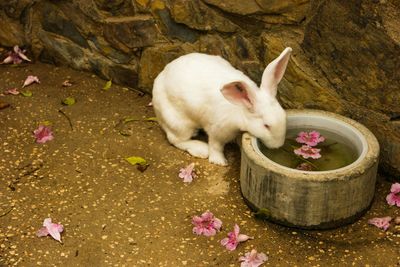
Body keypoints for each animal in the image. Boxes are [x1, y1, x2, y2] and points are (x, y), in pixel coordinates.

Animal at [152, 47, 292, 166]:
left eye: (284, 117)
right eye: (266, 126)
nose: (278, 145)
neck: (240, 110)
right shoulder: (217, 131)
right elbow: (215, 146)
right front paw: (219, 161)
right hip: (179, 124)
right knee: (176, 140)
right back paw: (201, 149)